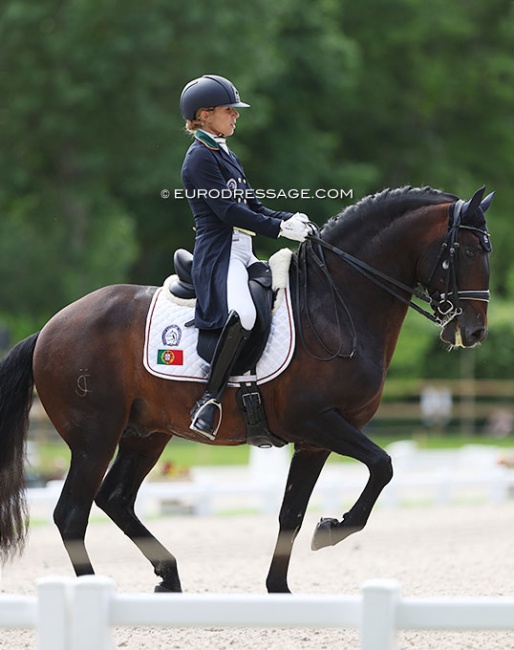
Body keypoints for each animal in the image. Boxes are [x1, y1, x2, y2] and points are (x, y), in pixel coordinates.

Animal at [0, 182, 490, 592]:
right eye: (466, 252)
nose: (475, 331)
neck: (338, 305)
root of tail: (50, 328)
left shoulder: (316, 440)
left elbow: (292, 512)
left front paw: (280, 586)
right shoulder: (318, 422)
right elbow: (383, 465)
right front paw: (333, 530)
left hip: (146, 434)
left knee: (116, 499)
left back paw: (168, 576)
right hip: (95, 438)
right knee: (71, 514)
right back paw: (93, 594)